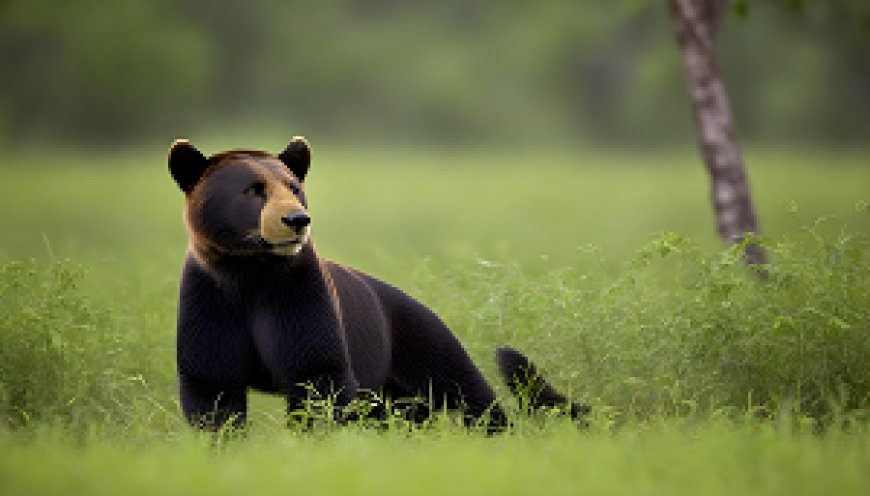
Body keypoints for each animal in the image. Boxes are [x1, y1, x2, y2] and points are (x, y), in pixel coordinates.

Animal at [167, 136, 588, 430]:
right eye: (253, 189)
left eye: (293, 187)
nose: (297, 219)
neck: (250, 275)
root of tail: (419, 304)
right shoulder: (210, 301)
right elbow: (213, 387)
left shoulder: (297, 295)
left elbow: (317, 376)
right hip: (390, 391)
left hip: (421, 344)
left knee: (466, 391)